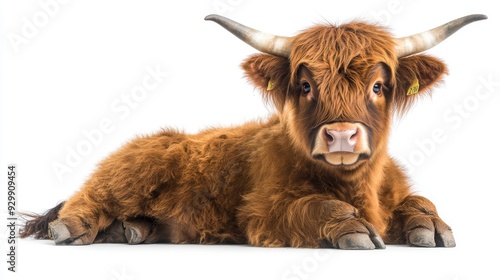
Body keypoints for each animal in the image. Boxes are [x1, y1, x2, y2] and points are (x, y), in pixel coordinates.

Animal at [21, 14, 486, 248]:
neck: (358, 189)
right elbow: (315, 207)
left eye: (377, 86)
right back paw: (73, 227)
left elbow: (419, 200)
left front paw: (430, 226)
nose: (341, 136)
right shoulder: (261, 213)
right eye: (305, 85)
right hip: (131, 173)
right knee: (87, 199)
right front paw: (353, 229)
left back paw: (133, 231)